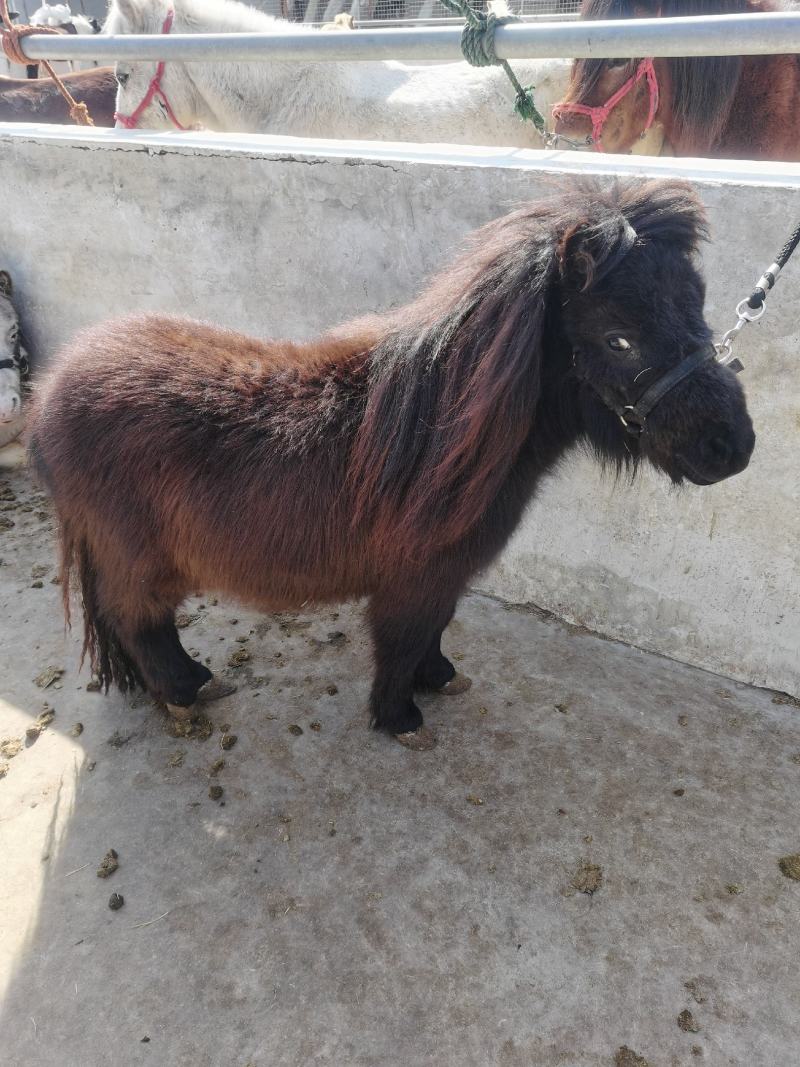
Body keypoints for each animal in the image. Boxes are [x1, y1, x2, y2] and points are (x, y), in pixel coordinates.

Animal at [28, 179, 755, 739]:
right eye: (618, 339)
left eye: (697, 303)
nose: (733, 446)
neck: (441, 440)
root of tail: (49, 395)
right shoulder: (414, 578)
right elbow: (404, 638)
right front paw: (401, 717)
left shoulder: (445, 576)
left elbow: (434, 632)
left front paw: (440, 680)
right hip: (138, 560)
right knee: (138, 621)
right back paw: (184, 692)